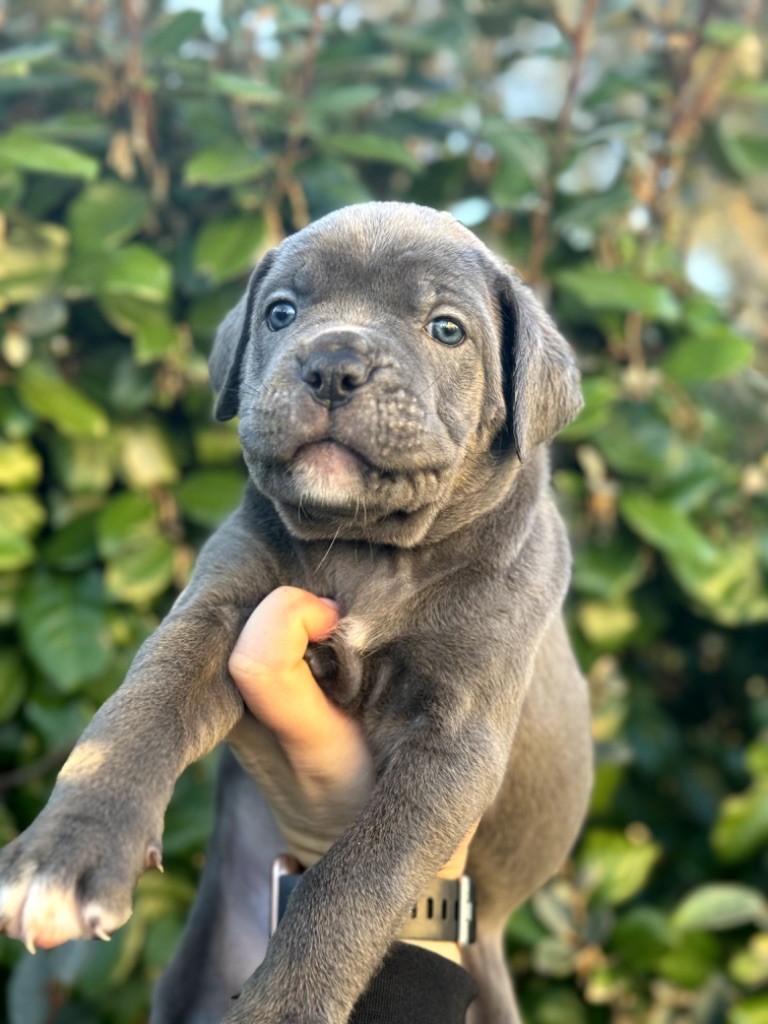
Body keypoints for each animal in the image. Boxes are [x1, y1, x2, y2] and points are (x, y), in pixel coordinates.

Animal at [0, 201, 593, 1024]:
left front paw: (286, 1007)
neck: (367, 549)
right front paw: (66, 854)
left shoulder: (456, 737)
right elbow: (134, 717)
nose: (334, 363)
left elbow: (360, 877)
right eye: (281, 312)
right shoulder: (218, 612)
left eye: (447, 329)